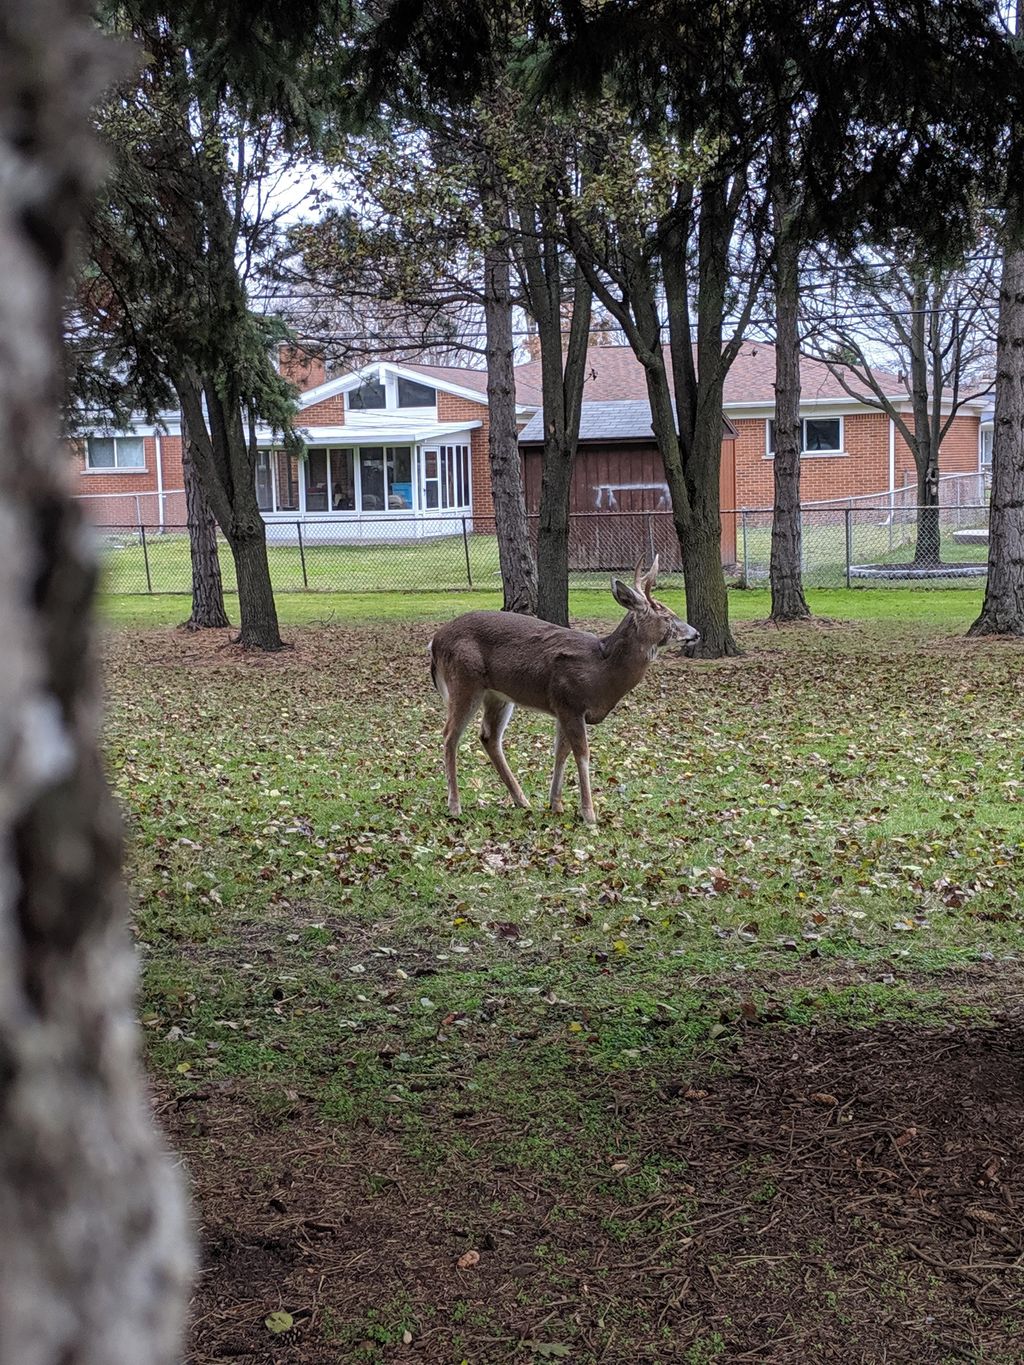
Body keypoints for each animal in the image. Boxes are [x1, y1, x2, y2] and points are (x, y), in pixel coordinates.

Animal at [425, 551, 699, 819]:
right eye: (666, 616)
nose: (695, 633)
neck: (601, 671)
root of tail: (434, 642)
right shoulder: (570, 701)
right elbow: (582, 754)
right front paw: (589, 814)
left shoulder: (563, 708)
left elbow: (561, 752)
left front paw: (556, 804)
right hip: (464, 681)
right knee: (450, 734)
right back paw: (455, 806)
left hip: (498, 695)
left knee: (488, 736)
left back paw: (521, 800)